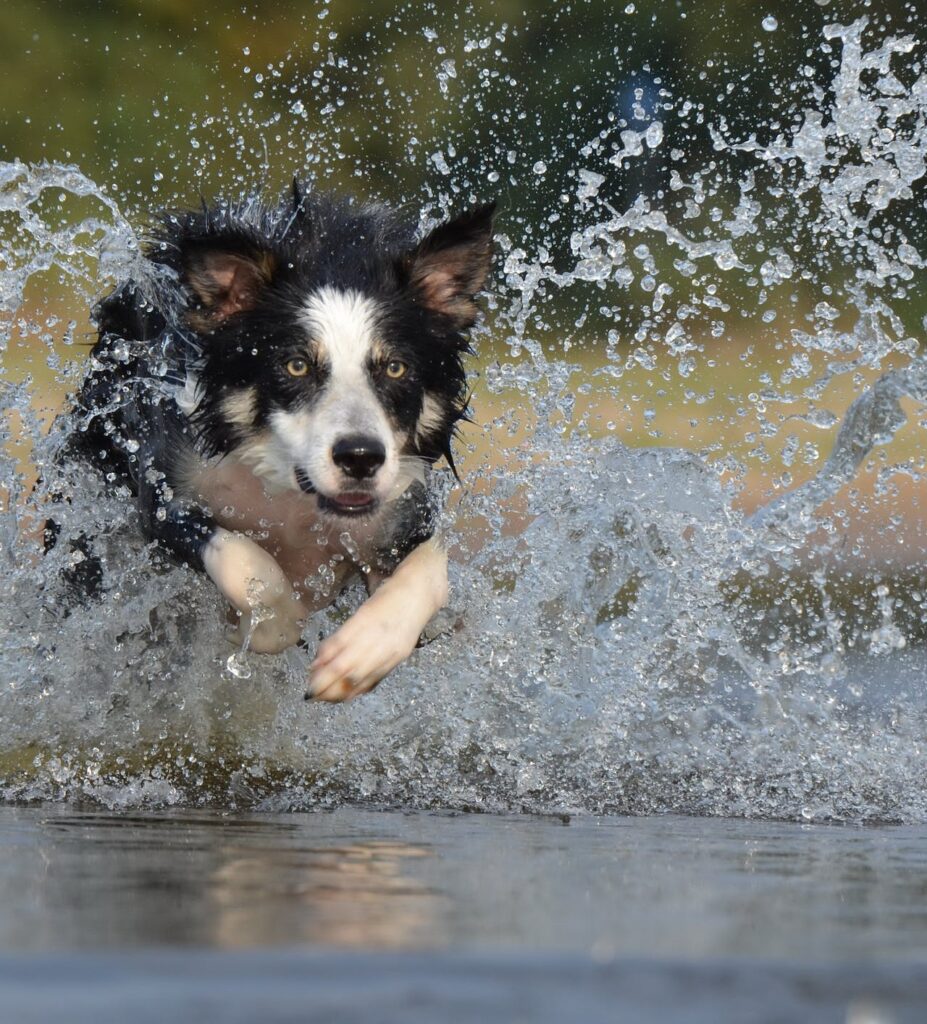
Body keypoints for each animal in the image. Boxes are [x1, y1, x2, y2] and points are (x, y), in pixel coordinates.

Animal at [55, 180, 495, 700]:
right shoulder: (166, 493)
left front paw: (362, 653)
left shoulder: (402, 510)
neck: (290, 494)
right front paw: (270, 623)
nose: (360, 458)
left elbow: (430, 569)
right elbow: (249, 565)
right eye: (296, 365)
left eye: (395, 367)